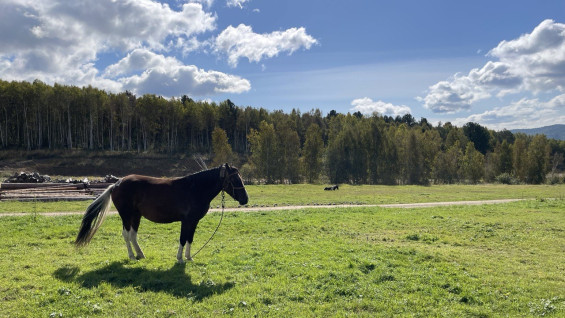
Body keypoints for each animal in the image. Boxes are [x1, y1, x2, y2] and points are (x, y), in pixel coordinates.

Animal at [75, 164, 247, 264]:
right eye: (235, 180)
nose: (245, 199)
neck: (195, 189)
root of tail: (116, 184)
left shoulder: (194, 221)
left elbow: (190, 239)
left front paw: (189, 257)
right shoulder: (186, 221)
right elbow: (183, 239)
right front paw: (180, 259)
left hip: (136, 216)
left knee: (133, 235)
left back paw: (140, 254)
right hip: (126, 215)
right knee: (126, 235)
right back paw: (132, 257)